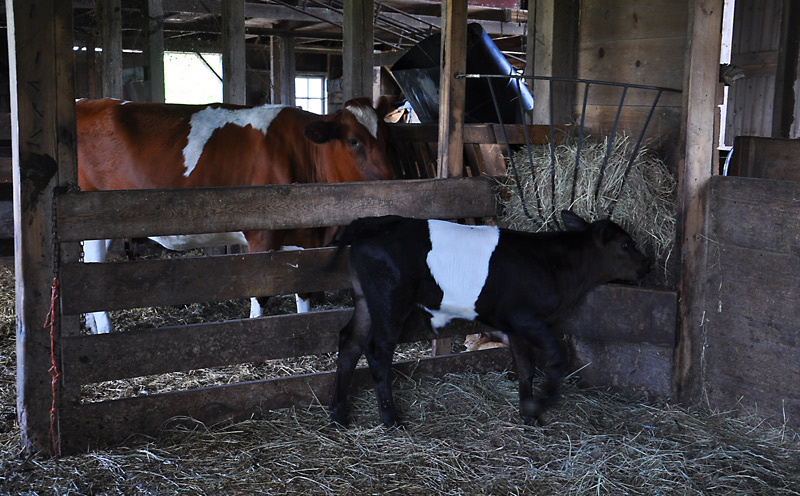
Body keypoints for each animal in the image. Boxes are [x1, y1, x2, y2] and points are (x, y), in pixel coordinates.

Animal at [76, 97, 395, 334]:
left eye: (388, 137)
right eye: (353, 141)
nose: (393, 183)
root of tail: (87, 102)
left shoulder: (304, 238)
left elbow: (303, 290)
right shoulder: (262, 234)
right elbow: (261, 292)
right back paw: (104, 330)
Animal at [327, 211, 649, 428]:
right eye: (625, 245)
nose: (648, 265)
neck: (555, 265)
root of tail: (372, 222)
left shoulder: (515, 326)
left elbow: (525, 367)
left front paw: (527, 412)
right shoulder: (525, 318)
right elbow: (555, 355)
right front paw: (542, 402)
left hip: (366, 300)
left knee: (350, 341)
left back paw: (339, 415)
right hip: (390, 300)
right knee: (377, 348)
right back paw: (390, 418)